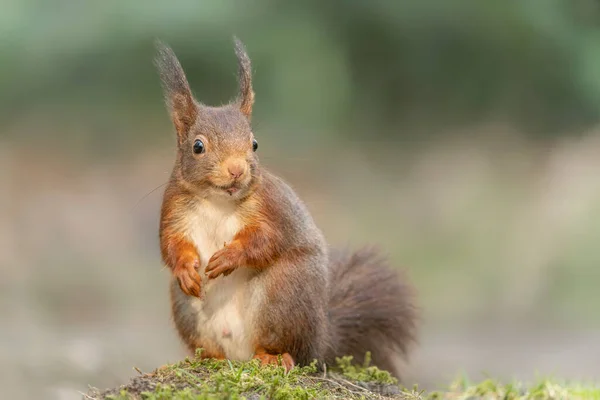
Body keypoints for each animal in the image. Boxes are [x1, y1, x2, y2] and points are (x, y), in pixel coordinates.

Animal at [155, 37, 418, 378]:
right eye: (198, 146)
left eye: (254, 144)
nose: (237, 170)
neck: (218, 201)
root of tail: (321, 339)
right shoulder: (174, 209)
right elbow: (170, 245)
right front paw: (186, 269)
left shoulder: (272, 209)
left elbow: (267, 241)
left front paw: (229, 256)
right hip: (186, 309)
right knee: (211, 346)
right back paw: (206, 359)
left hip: (283, 295)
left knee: (288, 348)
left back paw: (274, 358)